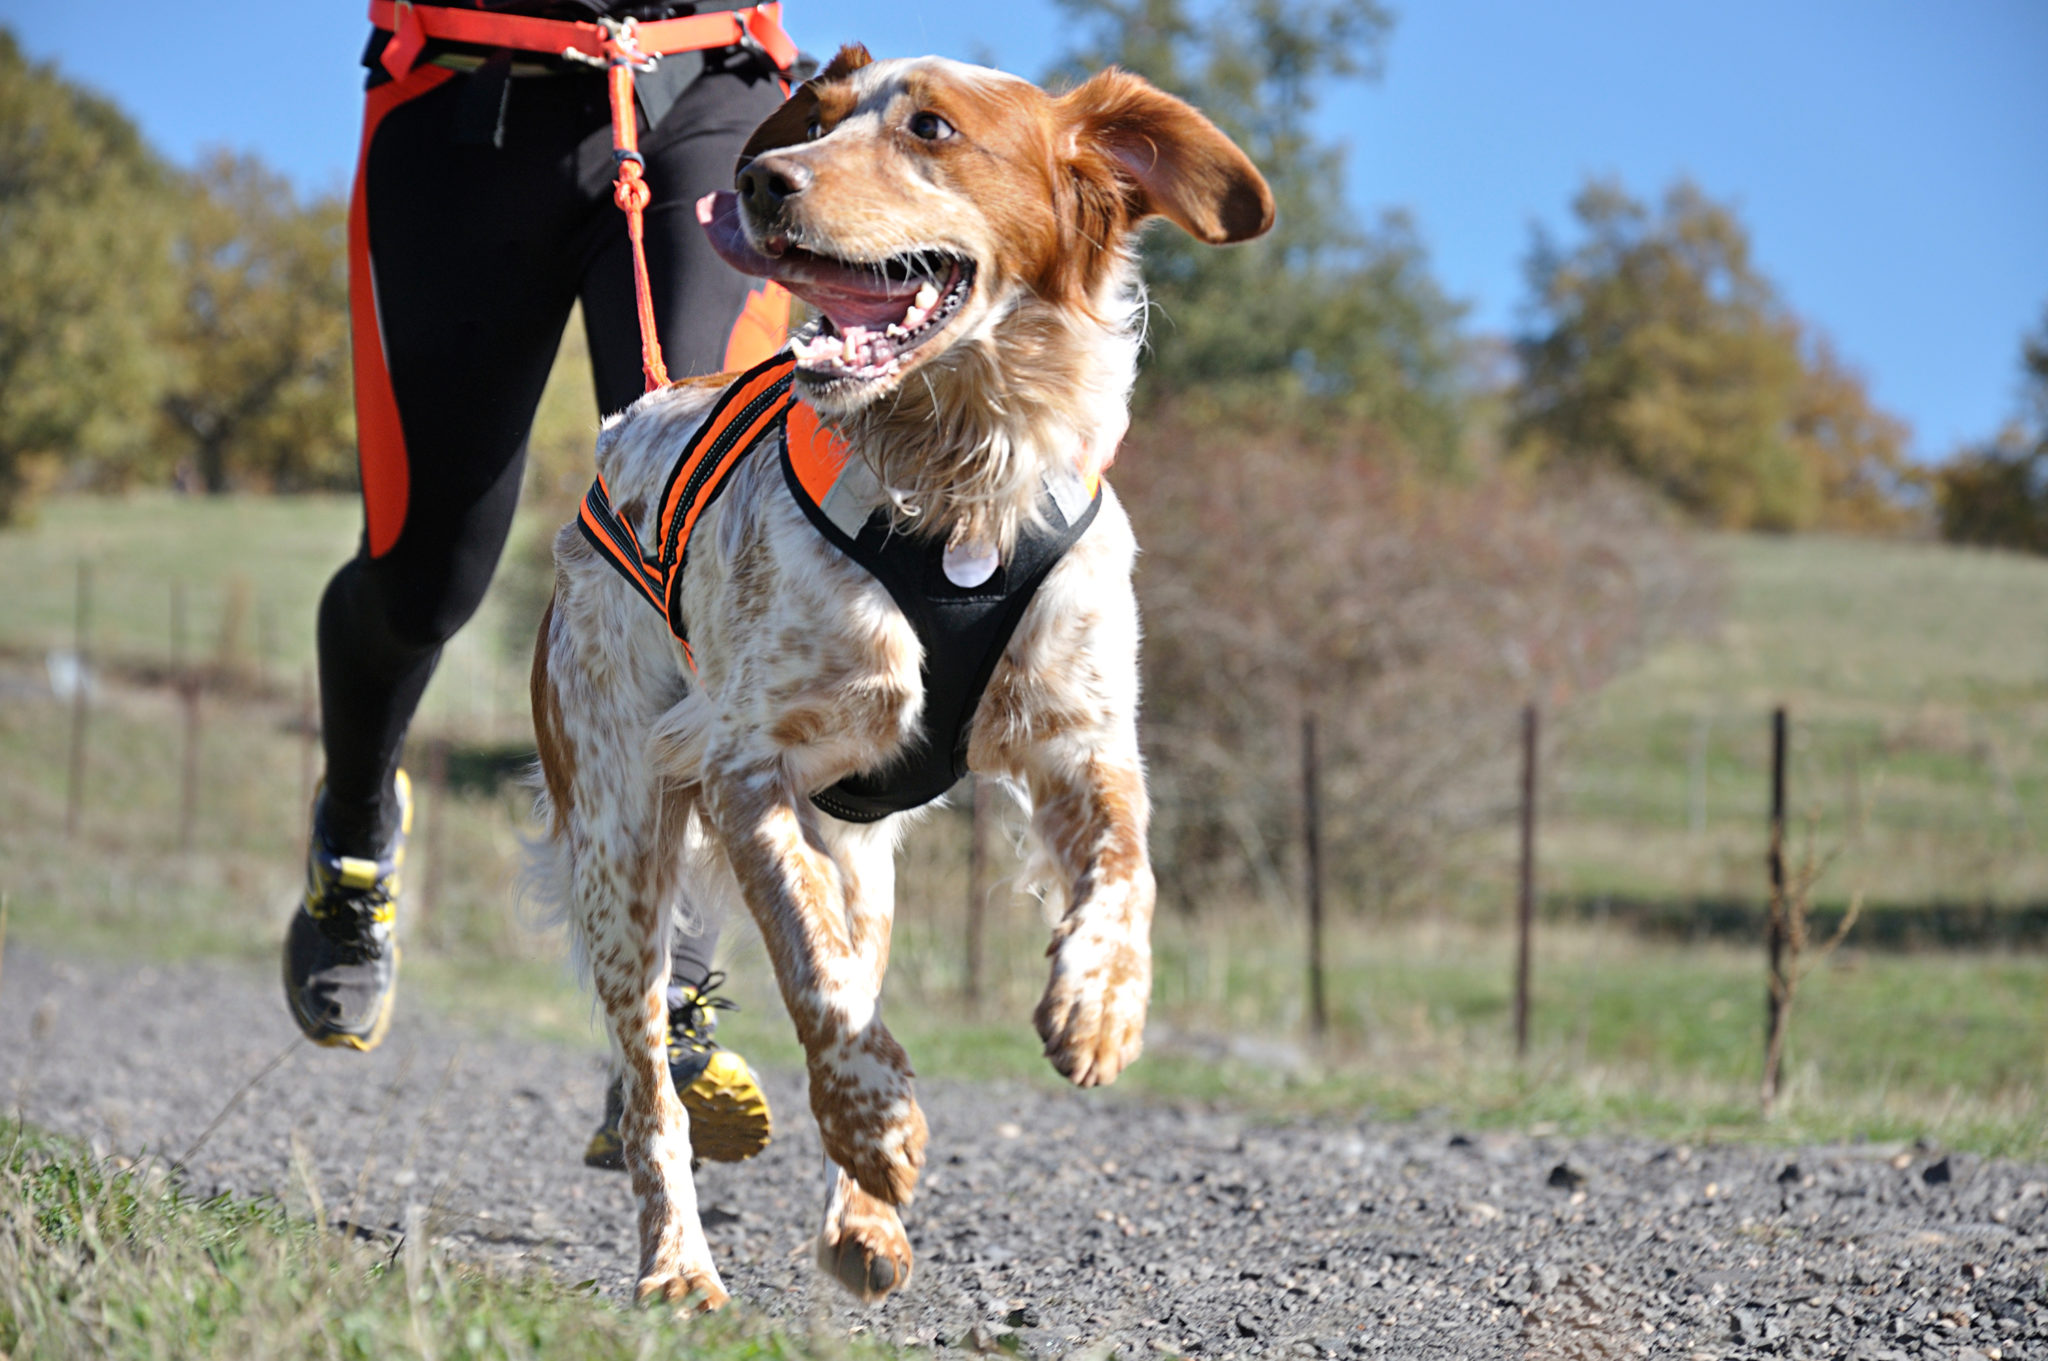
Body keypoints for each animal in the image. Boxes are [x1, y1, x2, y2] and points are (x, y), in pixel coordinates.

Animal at [532, 47, 1261, 1309]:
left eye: (930, 129)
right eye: (815, 122)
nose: (761, 182)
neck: (961, 482)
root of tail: (627, 420)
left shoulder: (1080, 740)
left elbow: (1128, 871)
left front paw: (1100, 1003)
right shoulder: (746, 765)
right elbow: (814, 975)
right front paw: (875, 1122)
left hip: (861, 855)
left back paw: (860, 1224)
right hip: (620, 839)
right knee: (652, 1093)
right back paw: (680, 1263)